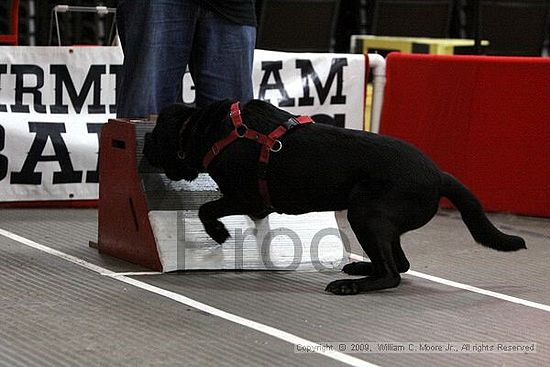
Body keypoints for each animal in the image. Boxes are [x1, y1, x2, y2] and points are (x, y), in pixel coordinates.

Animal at [144, 100, 528, 296]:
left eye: (156, 136)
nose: (144, 147)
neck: (207, 128)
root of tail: (439, 175)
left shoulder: (248, 198)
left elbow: (208, 208)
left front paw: (218, 233)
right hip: (380, 220)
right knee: (399, 262)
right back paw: (359, 267)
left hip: (365, 214)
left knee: (393, 273)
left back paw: (350, 284)